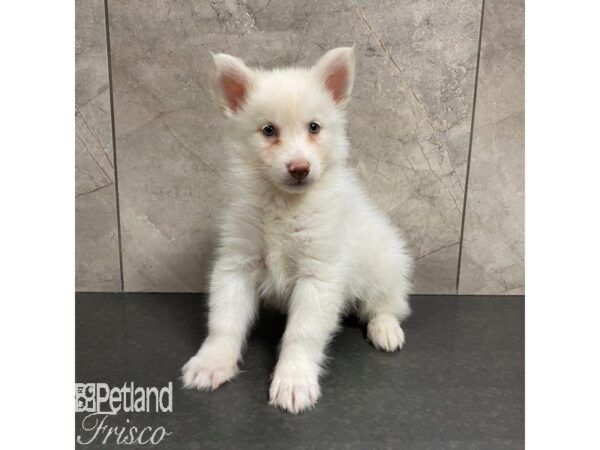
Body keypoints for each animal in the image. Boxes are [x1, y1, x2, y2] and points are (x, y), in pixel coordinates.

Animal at [182, 47, 412, 414]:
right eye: (268, 130)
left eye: (314, 127)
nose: (299, 168)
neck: (284, 203)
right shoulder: (237, 262)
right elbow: (224, 321)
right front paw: (212, 362)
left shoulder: (319, 273)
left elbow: (301, 334)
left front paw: (294, 381)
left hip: (385, 265)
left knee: (388, 304)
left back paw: (385, 330)